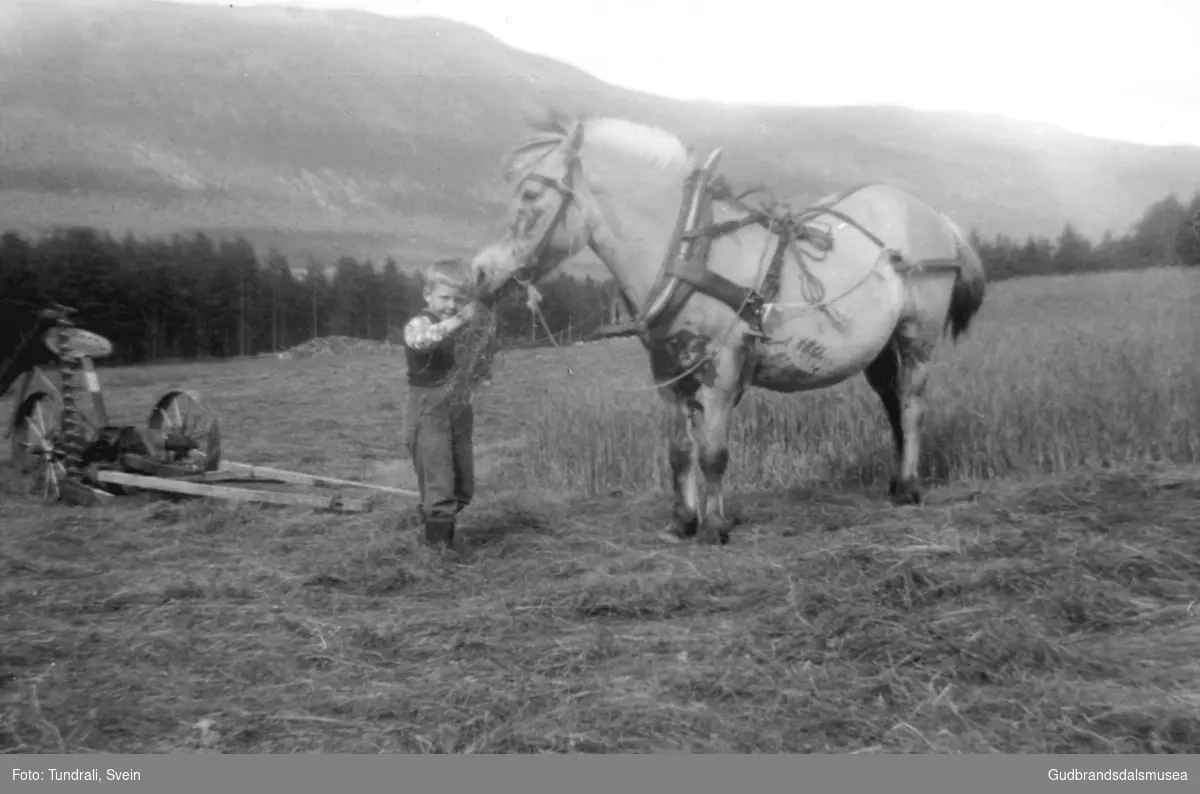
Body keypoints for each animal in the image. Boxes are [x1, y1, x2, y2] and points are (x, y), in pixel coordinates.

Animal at [468, 113, 984, 546]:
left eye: (531, 196)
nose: (479, 272)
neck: (686, 252)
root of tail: (935, 217)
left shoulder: (723, 365)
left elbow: (714, 451)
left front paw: (715, 525)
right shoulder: (668, 373)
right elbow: (680, 451)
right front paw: (683, 521)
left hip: (917, 337)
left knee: (912, 407)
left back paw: (910, 487)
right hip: (876, 350)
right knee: (893, 405)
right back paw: (895, 481)